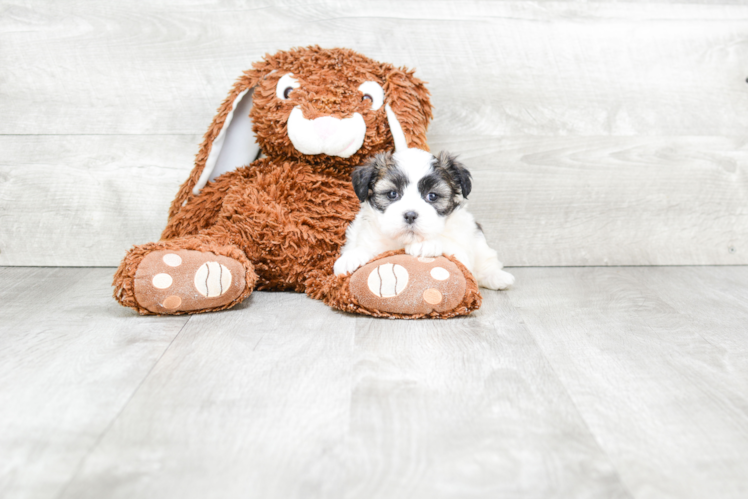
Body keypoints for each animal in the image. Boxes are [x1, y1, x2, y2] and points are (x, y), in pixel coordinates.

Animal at [334, 148, 516, 290]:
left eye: (432, 196)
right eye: (392, 194)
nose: (410, 215)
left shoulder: (460, 248)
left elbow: (449, 245)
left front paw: (426, 244)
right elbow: (368, 248)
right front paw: (351, 257)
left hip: (478, 240)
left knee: (487, 262)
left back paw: (497, 277)